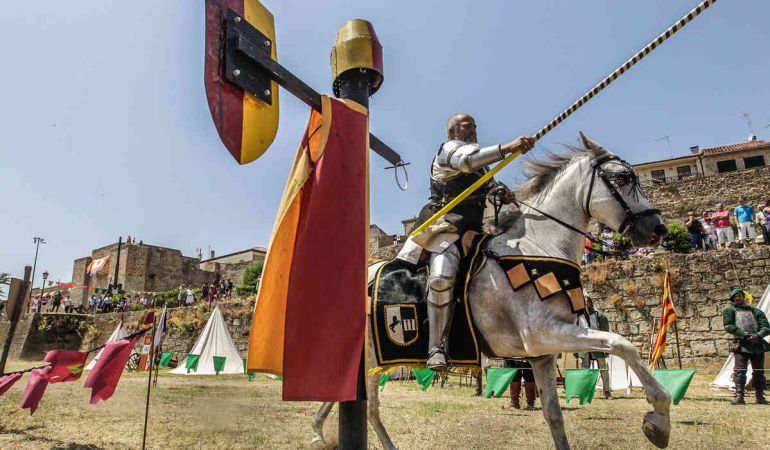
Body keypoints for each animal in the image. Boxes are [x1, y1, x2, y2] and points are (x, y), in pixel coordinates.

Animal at [312, 134, 672, 450]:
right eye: (623, 177)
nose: (658, 229)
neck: (538, 245)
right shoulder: (542, 334)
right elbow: (622, 344)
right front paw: (658, 417)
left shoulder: (542, 354)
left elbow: (554, 416)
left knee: (365, 407)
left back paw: (321, 431)